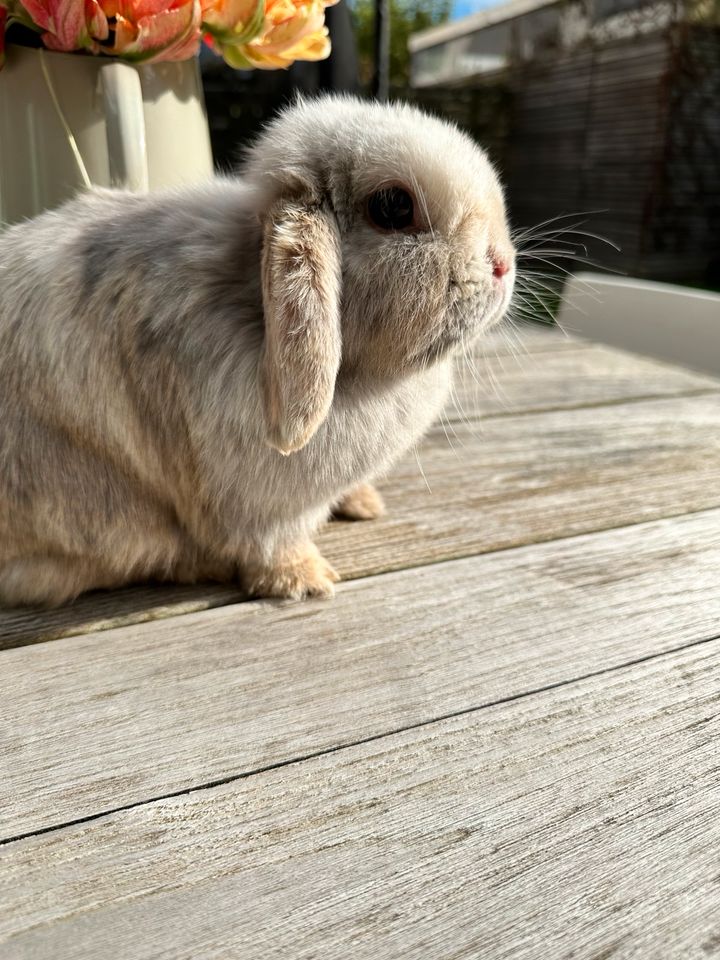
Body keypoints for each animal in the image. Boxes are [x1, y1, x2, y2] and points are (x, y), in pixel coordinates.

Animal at [0, 95, 516, 608]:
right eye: (393, 206)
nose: (503, 264)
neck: (251, 299)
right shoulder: (257, 507)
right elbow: (269, 544)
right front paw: (306, 579)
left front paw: (364, 503)